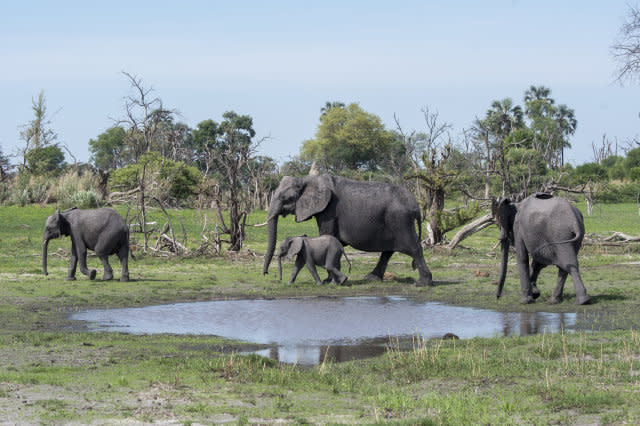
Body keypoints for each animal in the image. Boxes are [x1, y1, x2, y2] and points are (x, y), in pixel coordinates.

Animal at [262, 173, 436, 286]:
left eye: (285, 198)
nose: (266, 274)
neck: (307, 179)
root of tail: (416, 205)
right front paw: (334, 280)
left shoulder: (329, 210)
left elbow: (326, 235)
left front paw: (328, 281)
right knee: (388, 251)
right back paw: (370, 279)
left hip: (400, 220)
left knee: (413, 248)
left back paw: (422, 284)